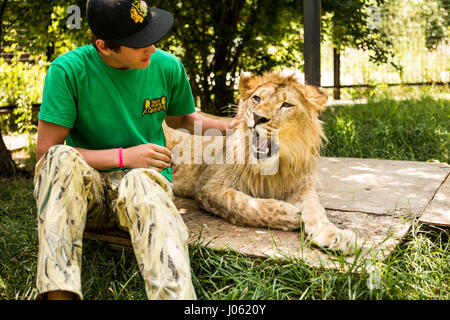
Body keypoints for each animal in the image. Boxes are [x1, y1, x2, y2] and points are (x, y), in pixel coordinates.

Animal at [164, 71, 358, 254]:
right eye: (257, 98)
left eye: (286, 105)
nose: (258, 117)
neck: (274, 167)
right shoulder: (207, 186)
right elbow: (241, 202)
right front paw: (289, 213)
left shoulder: (302, 185)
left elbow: (316, 209)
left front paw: (334, 235)